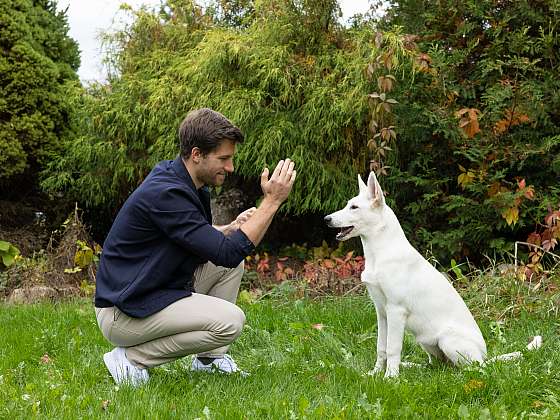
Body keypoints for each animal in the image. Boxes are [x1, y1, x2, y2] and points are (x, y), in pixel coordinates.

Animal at [326, 171, 540, 378]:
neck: (382, 252)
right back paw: (413, 367)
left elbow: (393, 348)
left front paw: (390, 378)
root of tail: (485, 356)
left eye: (354, 207)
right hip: (426, 342)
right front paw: (376, 374)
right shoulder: (382, 312)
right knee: (437, 366)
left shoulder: (396, 311)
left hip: (449, 340)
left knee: (474, 368)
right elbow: (382, 347)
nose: (326, 219)